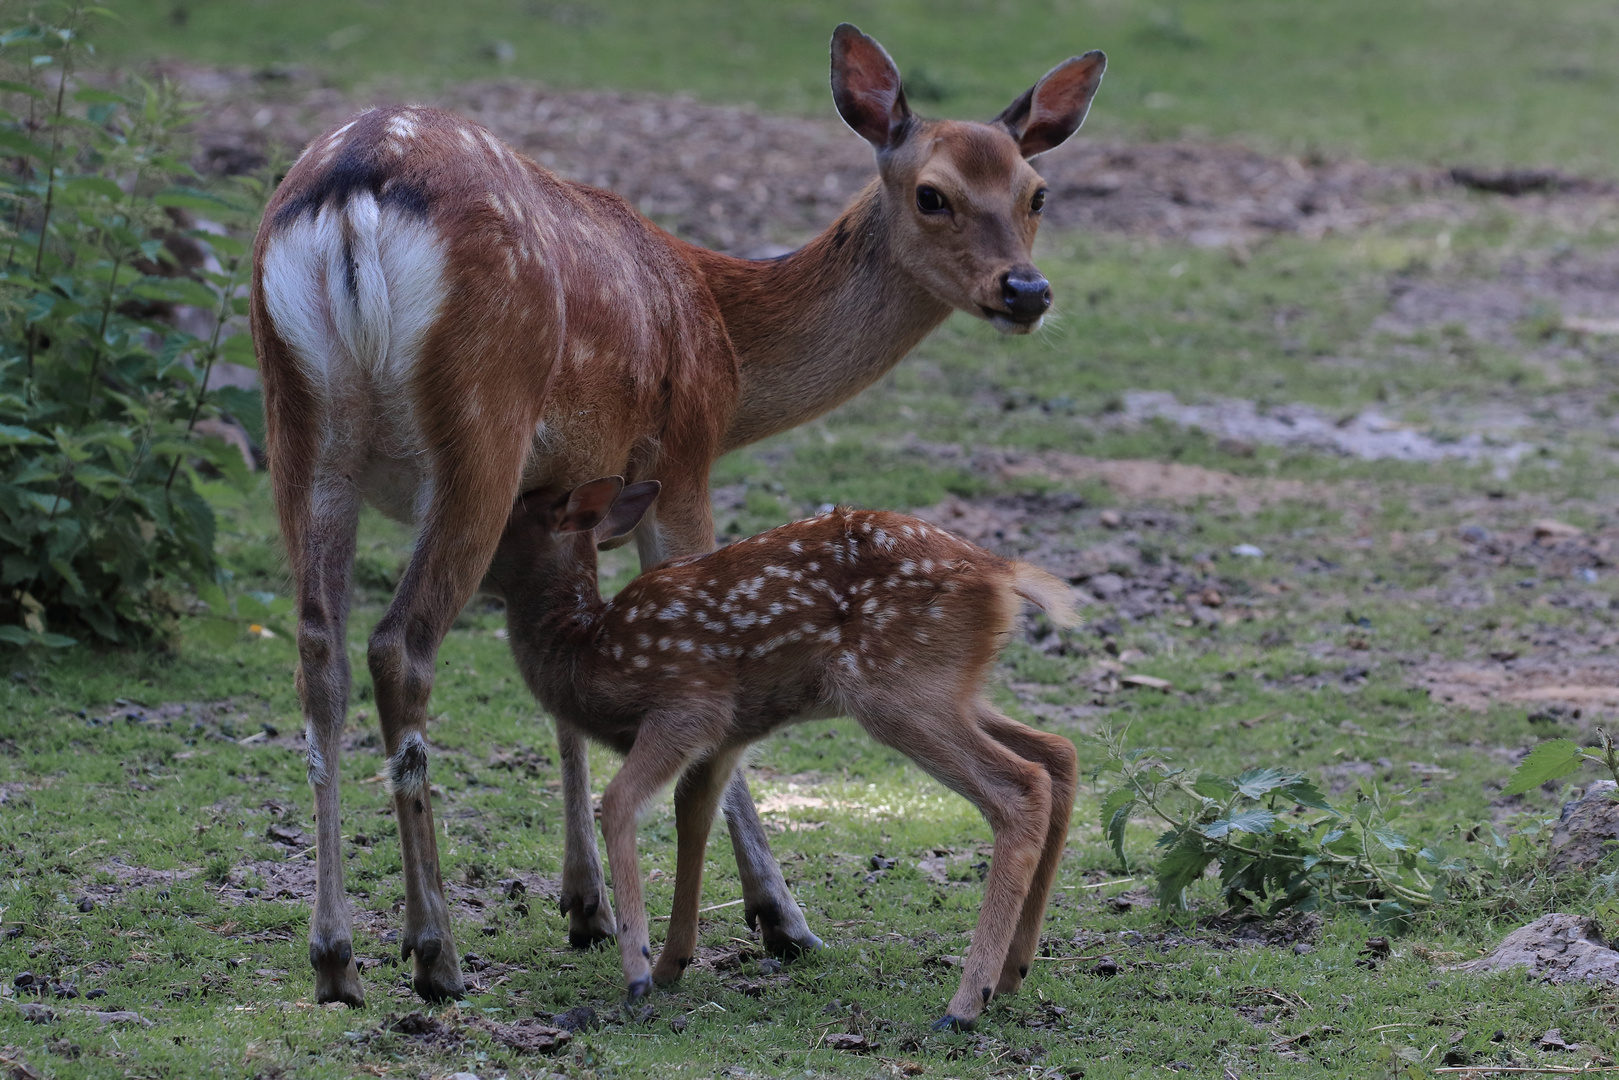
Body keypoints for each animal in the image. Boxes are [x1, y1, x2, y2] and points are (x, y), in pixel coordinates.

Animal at [252, 23, 1107, 1003]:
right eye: (933, 195)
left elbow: (559, 690)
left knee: (318, 652)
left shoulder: (568, 488)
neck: (726, 343)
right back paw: (435, 952)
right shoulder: (679, 456)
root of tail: (350, 199)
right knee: (399, 645)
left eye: (1037, 191)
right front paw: (777, 918)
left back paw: (336, 956)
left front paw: (584, 906)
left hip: (299, 426)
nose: (1025, 291)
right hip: (480, 425)